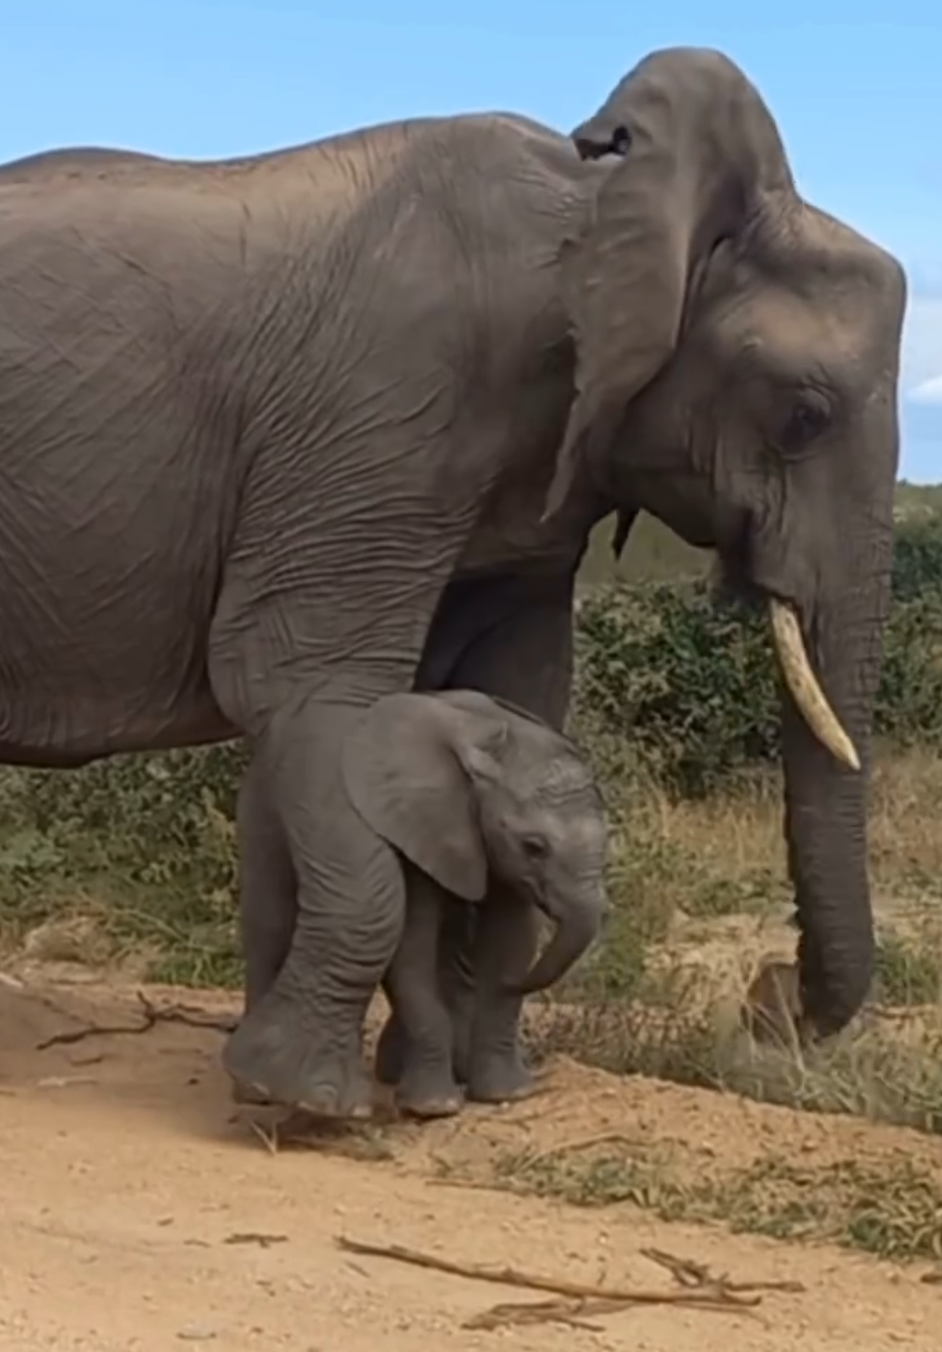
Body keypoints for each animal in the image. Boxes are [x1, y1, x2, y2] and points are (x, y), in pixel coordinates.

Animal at [341, 692, 605, 1114]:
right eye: (533, 847)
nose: (523, 985)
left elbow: (512, 939)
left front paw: (508, 1095)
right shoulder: (421, 825)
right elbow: (413, 947)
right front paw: (433, 1108)